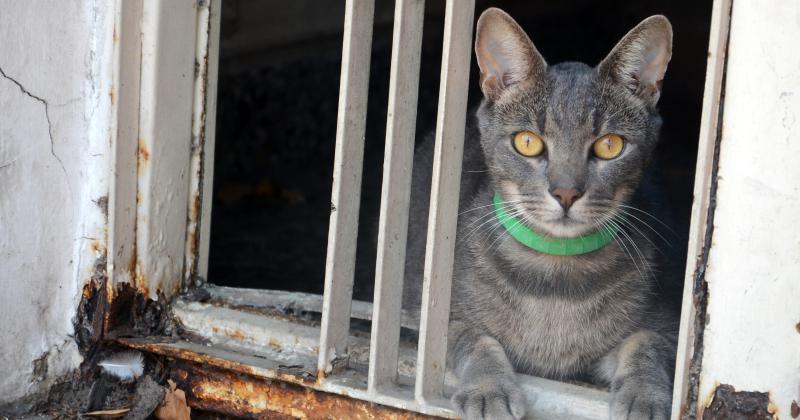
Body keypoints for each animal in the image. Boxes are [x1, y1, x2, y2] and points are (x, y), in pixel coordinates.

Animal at [404, 7, 680, 420]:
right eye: (528, 142)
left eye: (610, 145)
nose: (566, 192)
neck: (555, 278)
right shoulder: (433, 323)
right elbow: (475, 339)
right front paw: (488, 389)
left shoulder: (668, 325)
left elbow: (646, 343)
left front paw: (644, 395)